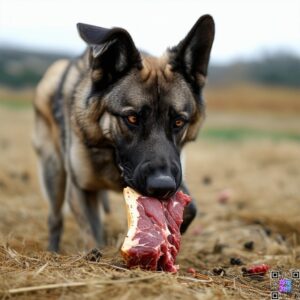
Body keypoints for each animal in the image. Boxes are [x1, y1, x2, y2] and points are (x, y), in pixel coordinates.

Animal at [32, 15, 214, 252]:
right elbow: (93, 237)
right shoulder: (80, 190)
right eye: (132, 118)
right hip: (53, 171)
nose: (162, 187)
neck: (113, 157)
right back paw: (52, 250)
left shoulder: (175, 172)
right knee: (55, 218)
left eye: (178, 121)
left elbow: (191, 208)